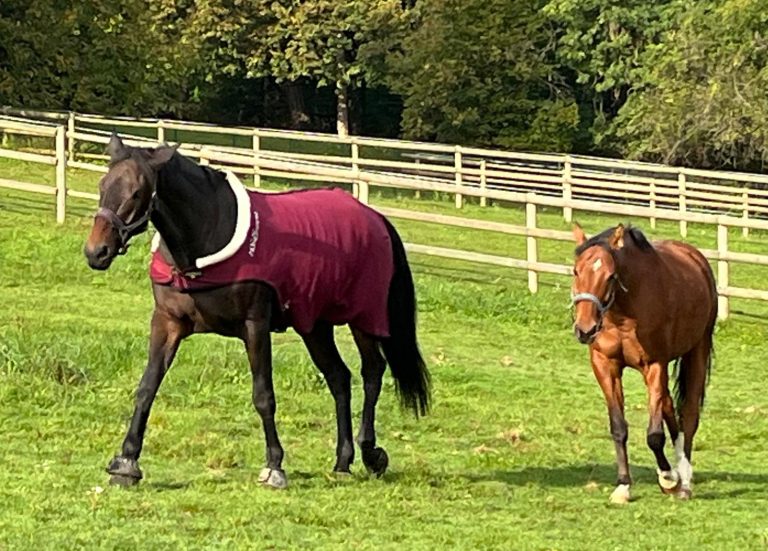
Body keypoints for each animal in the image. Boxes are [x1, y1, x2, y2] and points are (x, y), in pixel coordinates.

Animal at [83, 135, 430, 488]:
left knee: (372, 372)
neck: (207, 239)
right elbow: (147, 387)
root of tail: (376, 219)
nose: (96, 251)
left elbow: (263, 395)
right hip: (314, 325)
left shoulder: (255, 326)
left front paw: (274, 466)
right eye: (102, 185)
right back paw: (343, 460)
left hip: (364, 318)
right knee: (339, 377)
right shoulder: (167, 323)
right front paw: (126, 462)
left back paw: (370, 452)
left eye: (136, 193)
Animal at [570, 223, 716, 503]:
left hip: (697, 350)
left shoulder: (655, 364)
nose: (585, 329)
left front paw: (668, 477)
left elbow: (655, 435)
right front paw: (623, 486)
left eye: (610, 275)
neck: (623, 315)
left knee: (689, 413)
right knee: (669, 406)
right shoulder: (605, 365)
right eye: (576, 270)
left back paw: (684, 480)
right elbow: (619, 427)